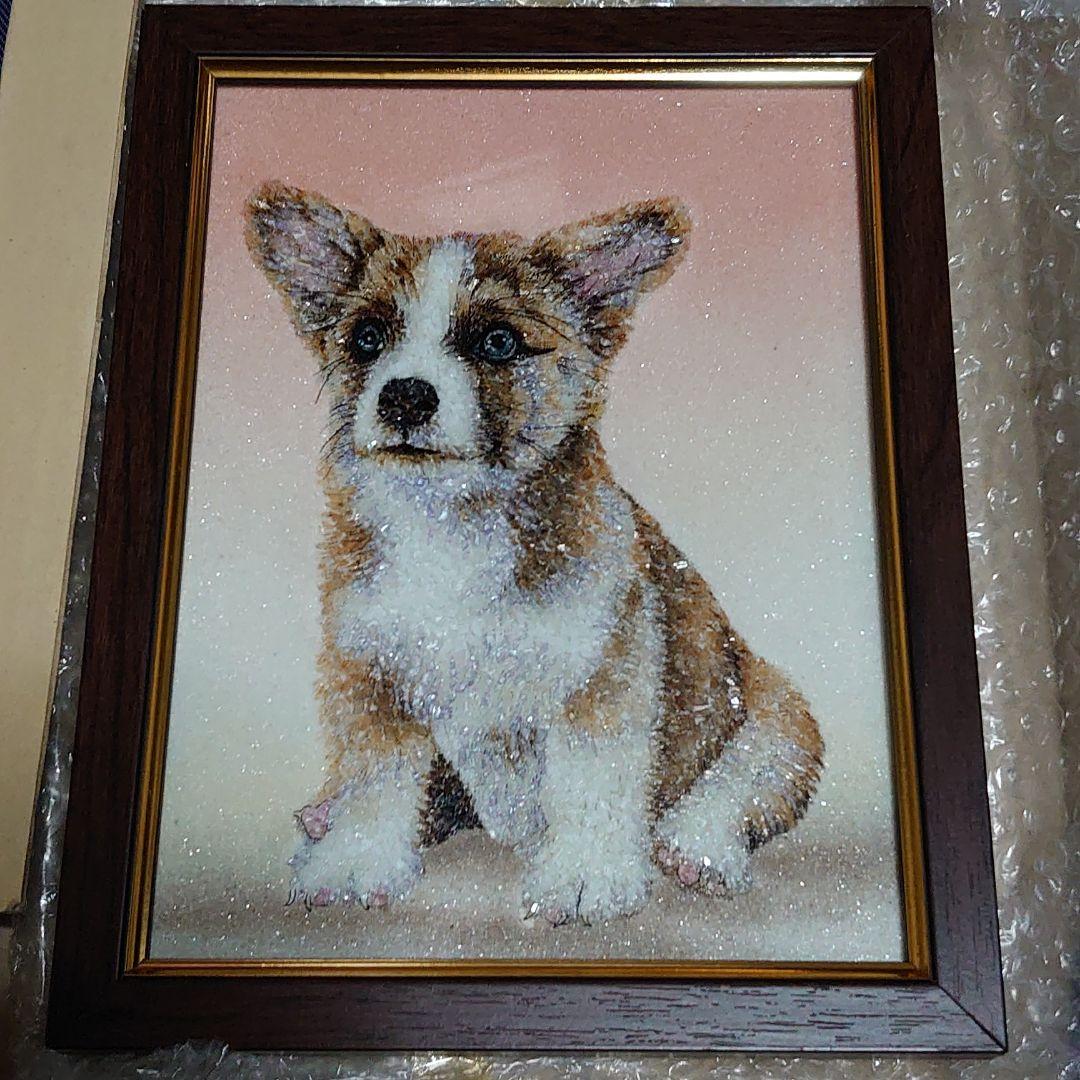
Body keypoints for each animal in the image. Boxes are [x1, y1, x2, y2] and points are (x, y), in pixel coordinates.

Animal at [245, 182, 824, 925]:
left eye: (498, 341)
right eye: (368, 338)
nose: (404, 395)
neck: (452, 528)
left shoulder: (598, 680)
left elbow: (588, 782)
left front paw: (582, 877)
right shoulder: (372, 675)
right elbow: (378, 777)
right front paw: (354, 859)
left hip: (781, 715)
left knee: (743, 783)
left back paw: (696, 847)